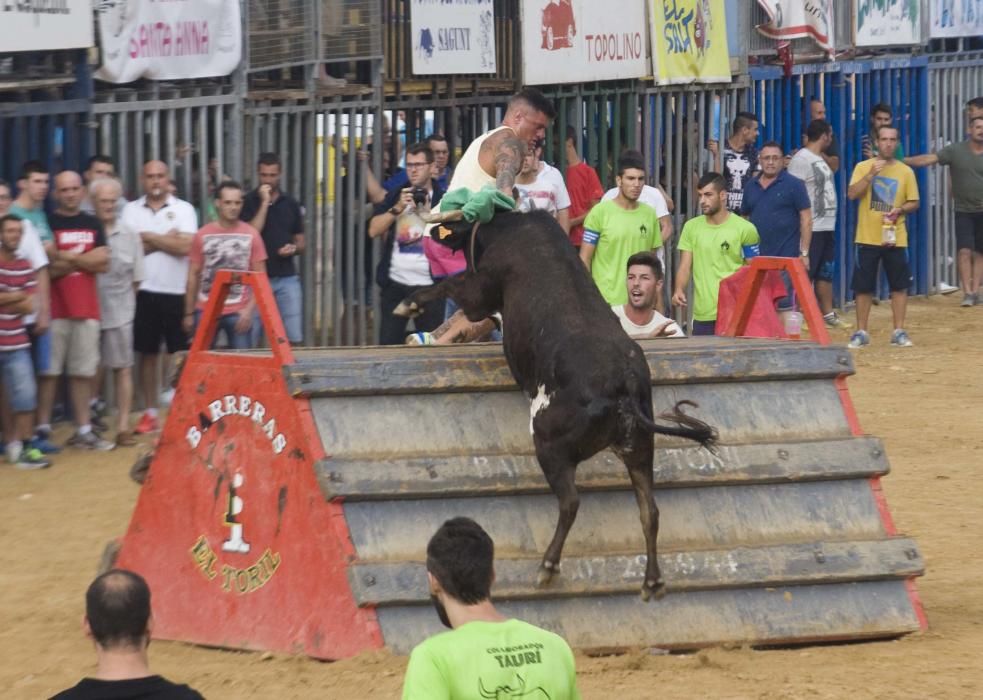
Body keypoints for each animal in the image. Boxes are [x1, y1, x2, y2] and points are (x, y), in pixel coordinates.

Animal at [394, 211, 716, 600]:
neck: (505, 227)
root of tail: (624, 380)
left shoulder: (479, 293)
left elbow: (453, 287)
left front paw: (409, 303)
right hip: (640, 448)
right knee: (649, 511)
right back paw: (652, 581)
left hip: (550, 443)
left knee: (571, 502)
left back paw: (548, 566)